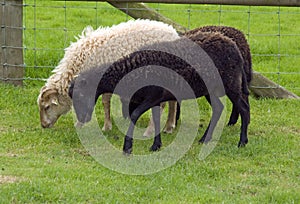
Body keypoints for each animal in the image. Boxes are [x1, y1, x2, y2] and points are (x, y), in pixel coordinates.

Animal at [36, 19, 179, 131]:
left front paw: (105, 126)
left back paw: (167, 127)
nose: (43, 125)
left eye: (47, 107)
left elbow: (105, 102)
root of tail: (173, 32)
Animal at [69, 33, 250, 155]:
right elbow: (156, 119)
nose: (82, 119)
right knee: (219, 108)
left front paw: (127, 148)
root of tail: (234, 47)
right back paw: (204, 139)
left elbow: (135, 115)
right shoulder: (155, 100)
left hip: (231, 84)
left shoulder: (152, 97)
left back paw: (242, 142)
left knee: (243, 108)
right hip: (210, 89)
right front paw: (156, 146)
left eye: (80, 95)